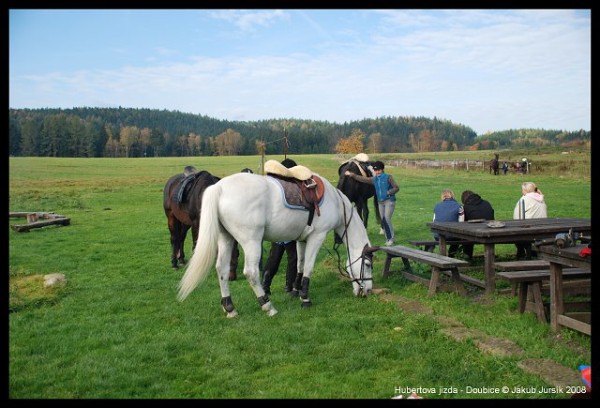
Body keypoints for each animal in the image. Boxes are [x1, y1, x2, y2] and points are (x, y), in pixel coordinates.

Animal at [176, 163, 378, 318]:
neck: (335, 201)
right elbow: (309, 268)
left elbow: (300, 265)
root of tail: (219, 188)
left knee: (222, 270)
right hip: (251, 242)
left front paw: (296, 290)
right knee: (251, 273)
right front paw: (305, 298)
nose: (367, 291)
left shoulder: (301, 239)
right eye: (368, 264)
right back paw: (267, 306)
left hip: (226, 239)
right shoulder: (317, 237)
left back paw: (230, 307)